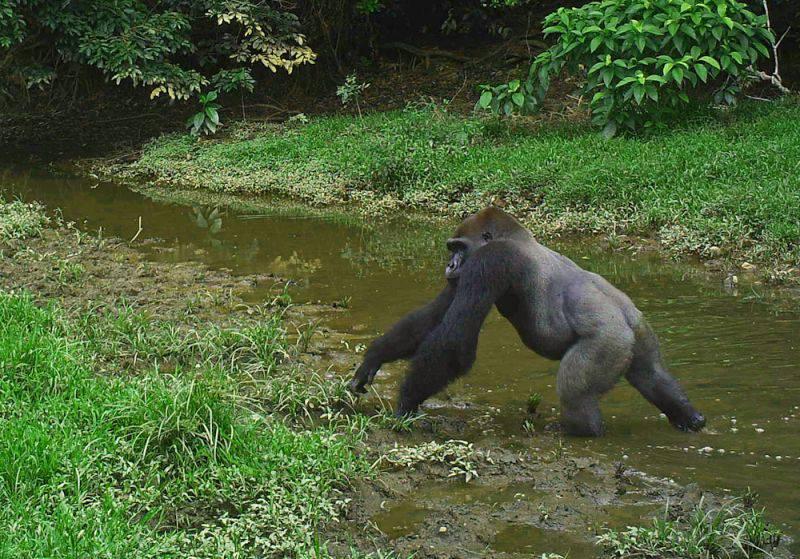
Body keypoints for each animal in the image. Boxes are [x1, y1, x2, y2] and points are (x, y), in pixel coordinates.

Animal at [346, 207, 704, 438]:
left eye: (458, 247)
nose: (450, 265)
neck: (520, 238)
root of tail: (627, 317)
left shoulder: (489, 261)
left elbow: (455, 342)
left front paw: (405, 404)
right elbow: (433, 317)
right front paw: (374, 357)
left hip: (609, 341)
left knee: (575, 392)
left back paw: (581, 433)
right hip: (640, 334)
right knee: (652, 375)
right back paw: (689, 418)